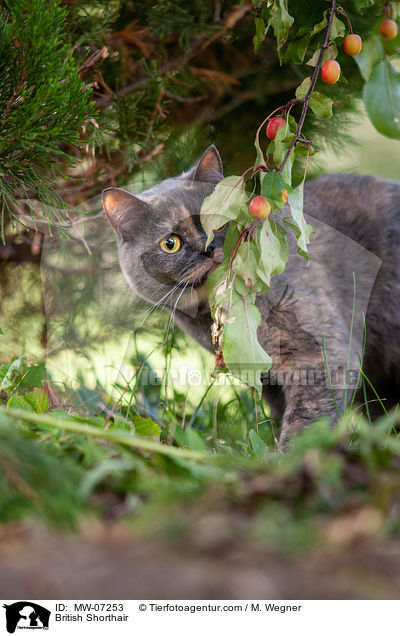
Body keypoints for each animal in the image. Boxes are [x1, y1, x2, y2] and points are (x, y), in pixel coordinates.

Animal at [103, 147, 400, 448]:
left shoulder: (319, 350)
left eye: (220, 222)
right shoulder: (264, 374)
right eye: (170, 243)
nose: (208, 248)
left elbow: (308, 413)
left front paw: (294, 451)